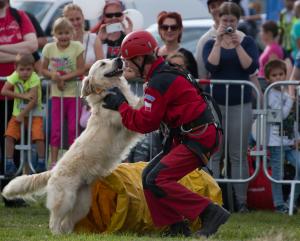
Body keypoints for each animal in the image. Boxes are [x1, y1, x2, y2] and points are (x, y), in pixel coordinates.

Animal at [1, 57, 142, 234]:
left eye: (110, 59)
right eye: (103, 63)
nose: (119, 59)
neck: (107, 94)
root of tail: (53, 170)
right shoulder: (124, 121)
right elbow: (139, 107)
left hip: (82, 203)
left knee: (67, 222)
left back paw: (69, 234)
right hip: (65, 199)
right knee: (54, 220)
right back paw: (56, 234)